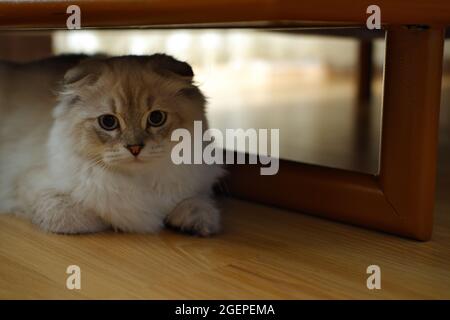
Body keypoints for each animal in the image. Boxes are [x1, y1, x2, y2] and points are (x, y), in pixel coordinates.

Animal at [0, 54, 225, 235]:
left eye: (156, 118)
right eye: (108, 122)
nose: (135, 148)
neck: (140, 182)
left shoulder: (196, 187)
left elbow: (199, 206)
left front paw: (196, 225)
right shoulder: (37, 189)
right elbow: (101, 216)